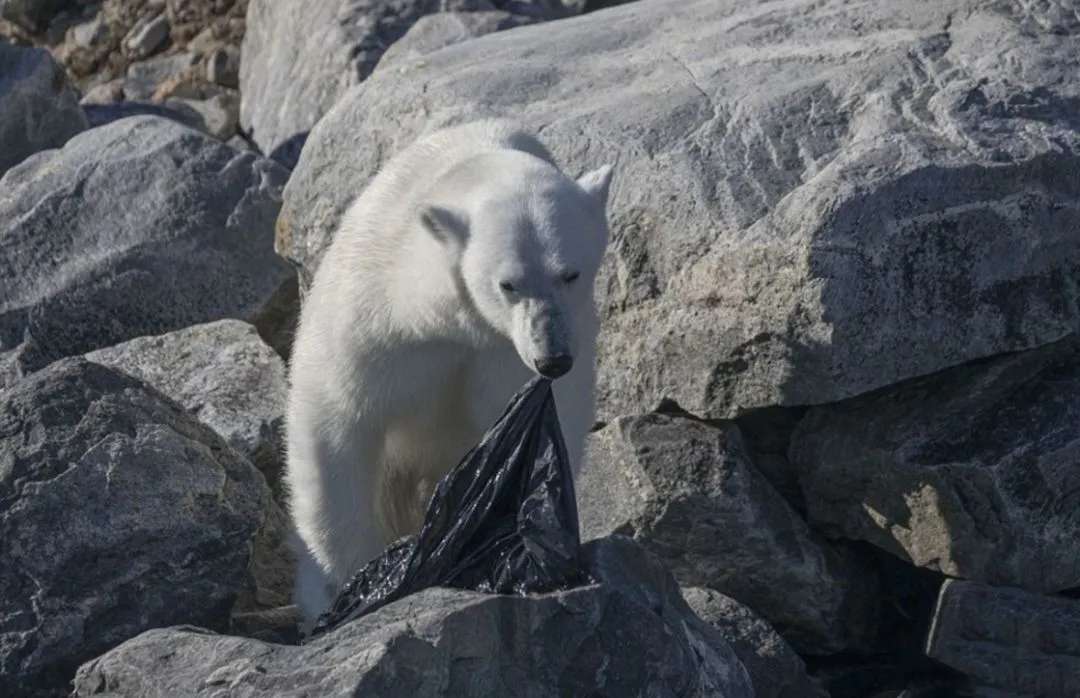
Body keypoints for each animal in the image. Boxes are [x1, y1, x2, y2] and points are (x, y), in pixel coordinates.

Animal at [282, 121, 613, 622]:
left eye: (570, 274)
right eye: (508, 284)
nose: (552, 358)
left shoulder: (502, 356)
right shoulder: (375, 324)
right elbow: (337, 426)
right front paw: (349, 580)